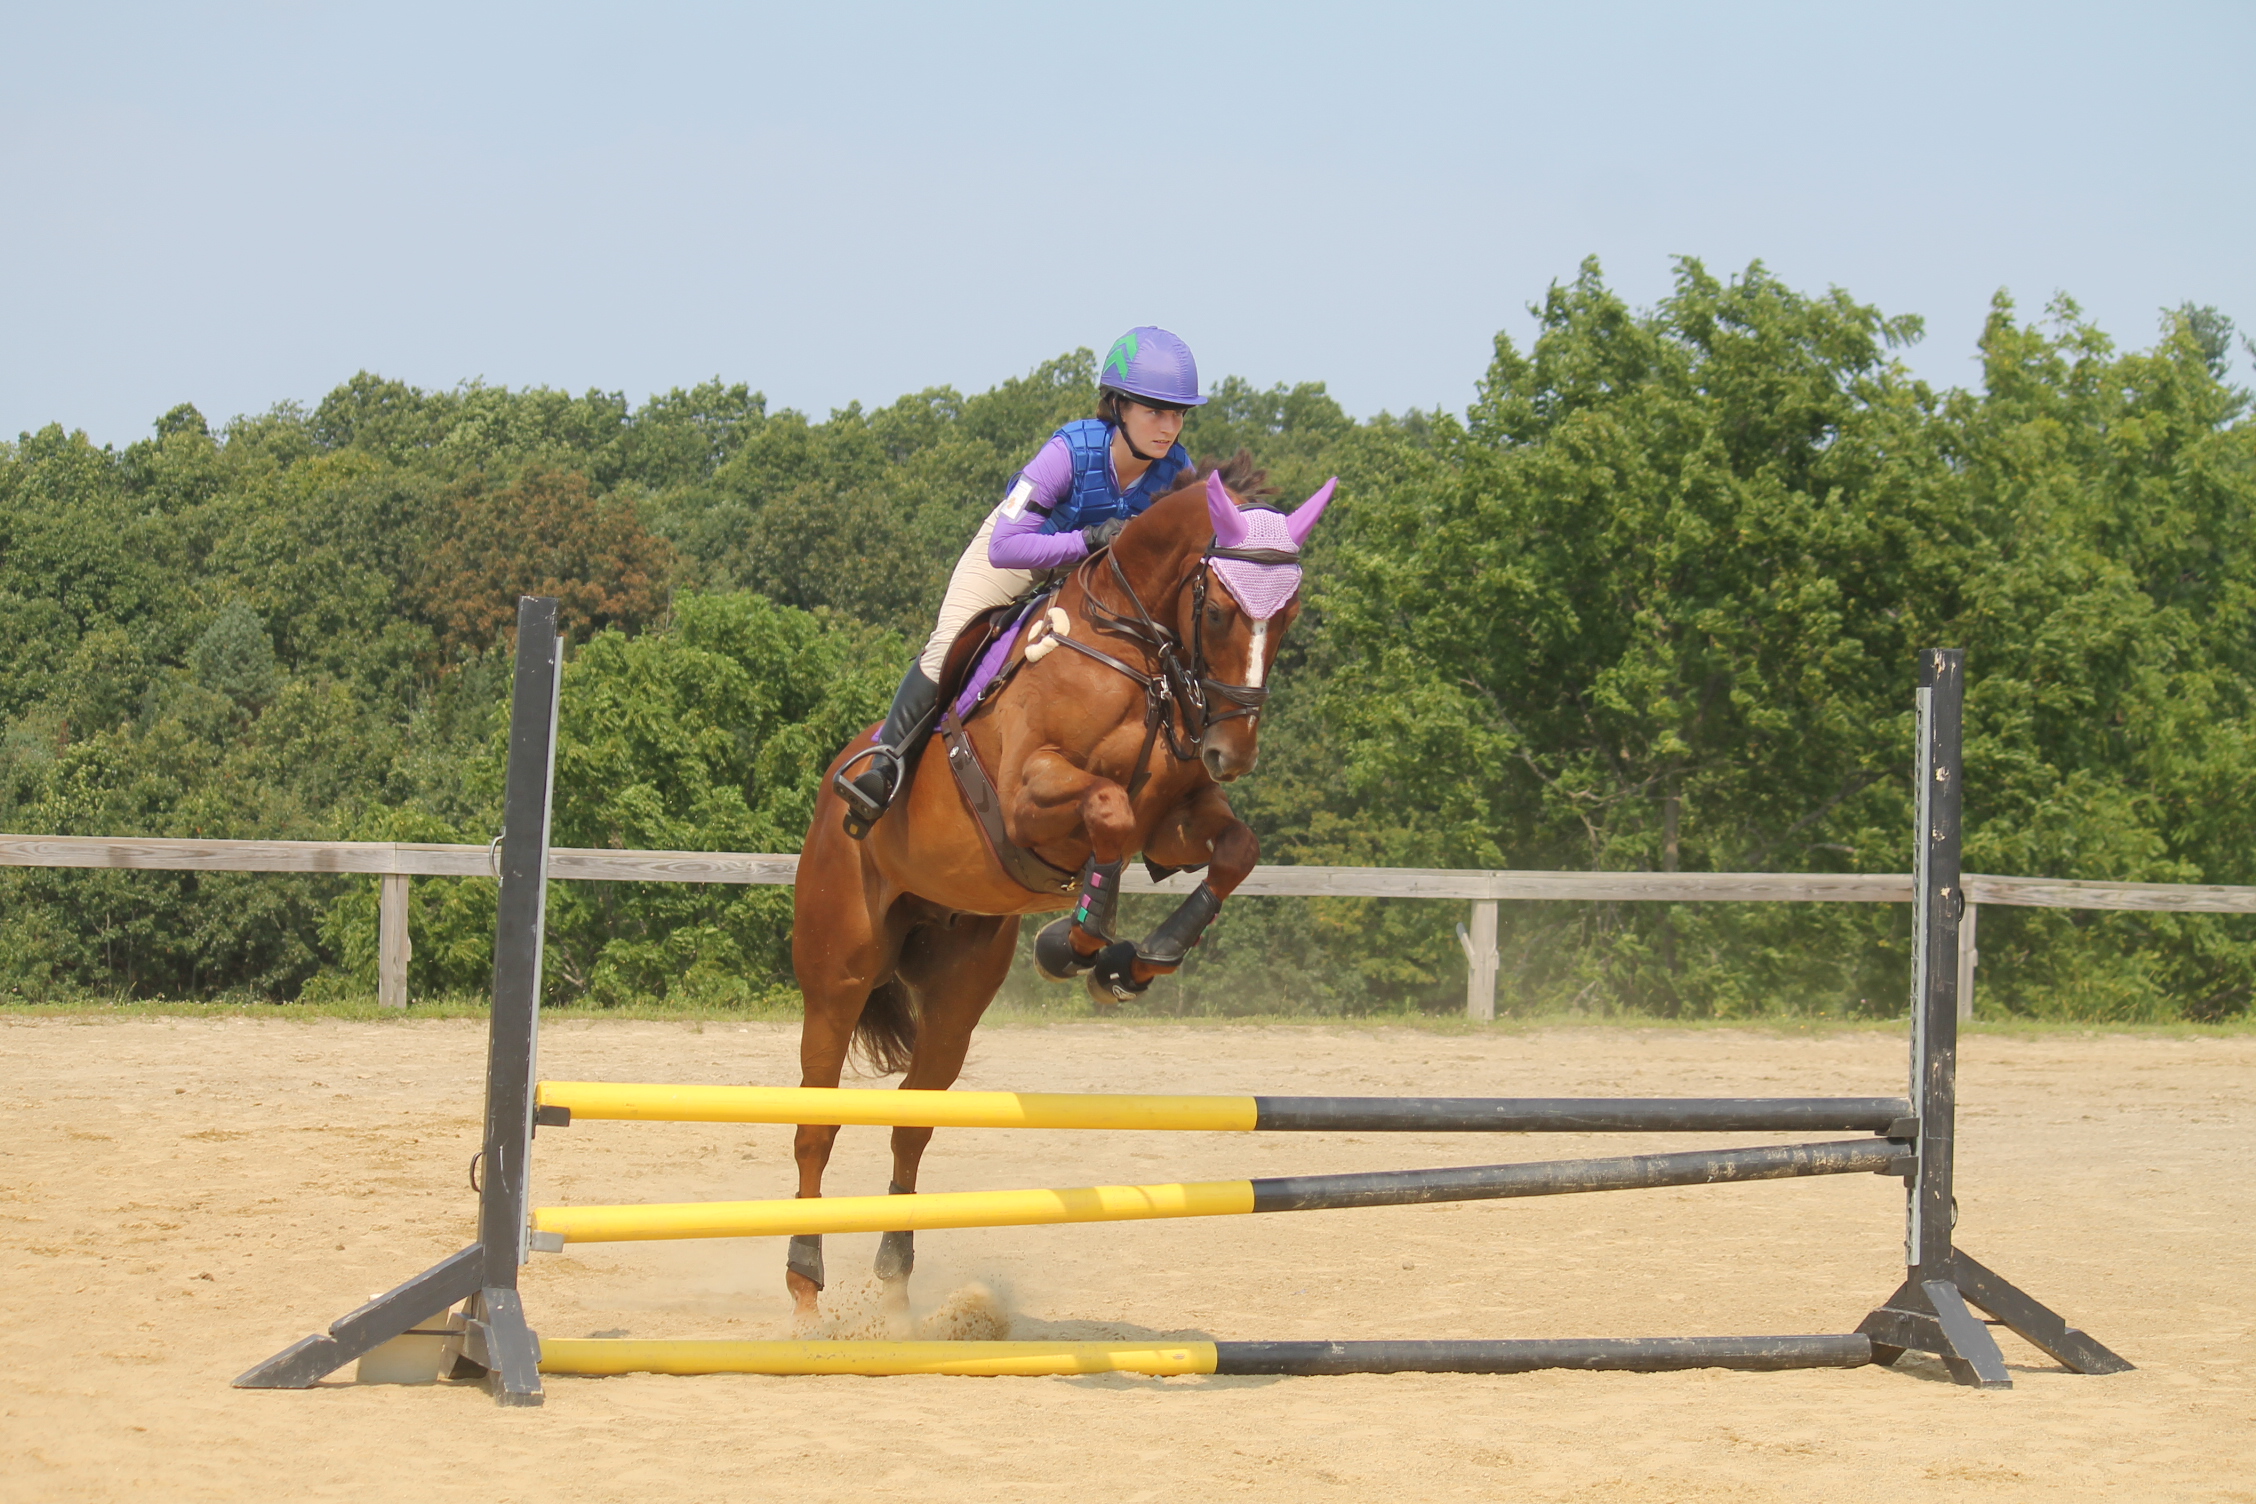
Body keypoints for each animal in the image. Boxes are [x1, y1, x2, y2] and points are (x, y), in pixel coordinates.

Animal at [785, 459, 1326, 1316]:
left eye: (1290, 616)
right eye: (1219, 610)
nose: (1230, 752)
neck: (1135, 654)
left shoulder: (1172, 820)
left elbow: (1232, 848)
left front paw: (1141, 958)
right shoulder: (1026, 795)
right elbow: (1107, 810)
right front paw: (1074, 946)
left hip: (958, 990)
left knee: (911, 1121)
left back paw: (896, 1283)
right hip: (839, 968)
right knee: (818, 1119)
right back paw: (806, 1283)